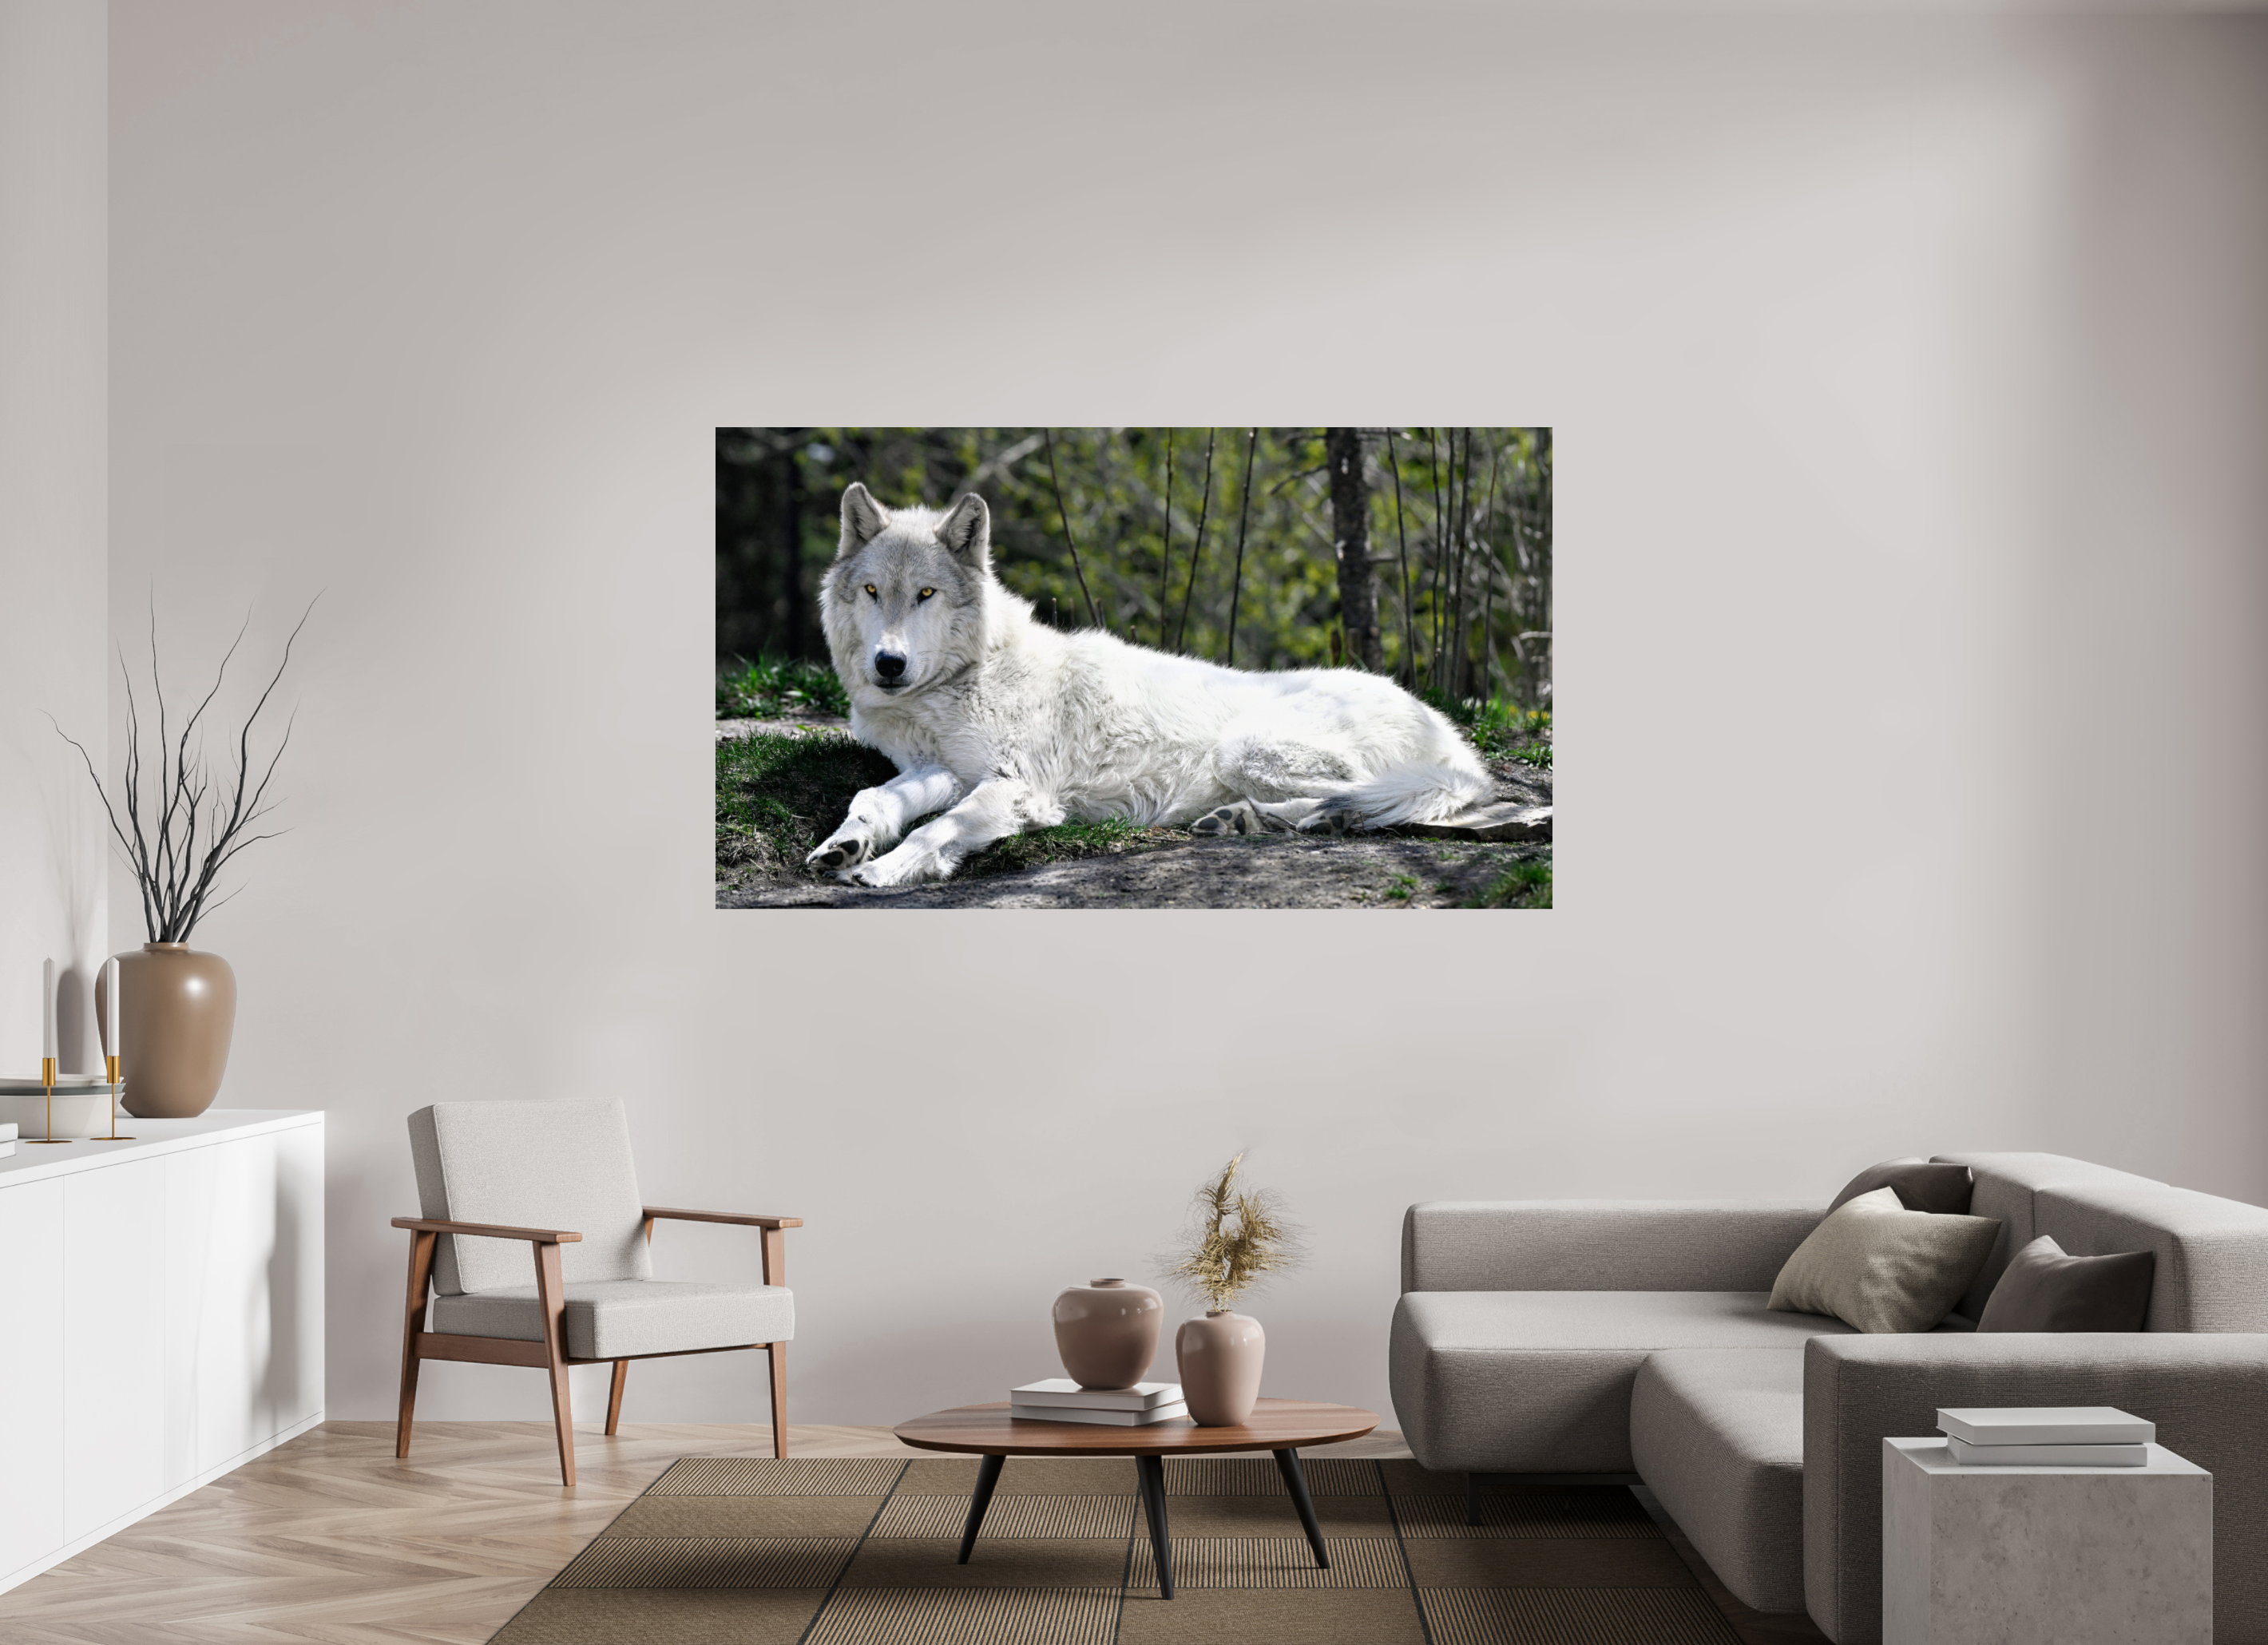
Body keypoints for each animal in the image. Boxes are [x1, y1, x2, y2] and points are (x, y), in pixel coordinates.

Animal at [807, 482, 1493, 887]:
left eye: (926, 594)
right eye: (873, 591)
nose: (888, 664)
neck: (963, 681)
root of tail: (1450, 734)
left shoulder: (1018, 787)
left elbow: (934, 828)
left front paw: (884, 869)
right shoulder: (942, 770)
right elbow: (873, 798)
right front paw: (845, 845)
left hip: (1247, 749)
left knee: (1374, 796)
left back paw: (1281, 820)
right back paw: (1241, 821)